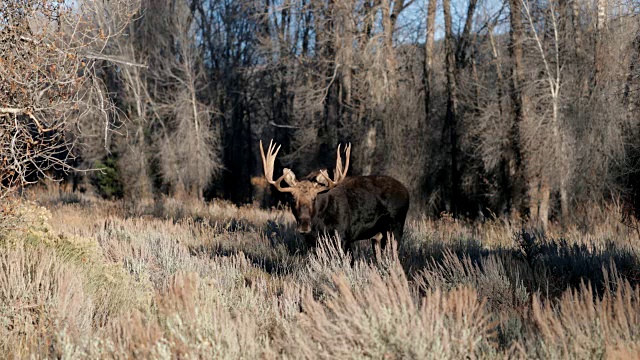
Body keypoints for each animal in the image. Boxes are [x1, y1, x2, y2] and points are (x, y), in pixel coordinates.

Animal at [260, 139, 410, 258]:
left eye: (314, 198)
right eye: (292, 198)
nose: (304, 224)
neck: (320, 223)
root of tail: (406, 192)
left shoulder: (344, 236)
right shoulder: (312, 242)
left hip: (396, 227)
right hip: (378, 236)